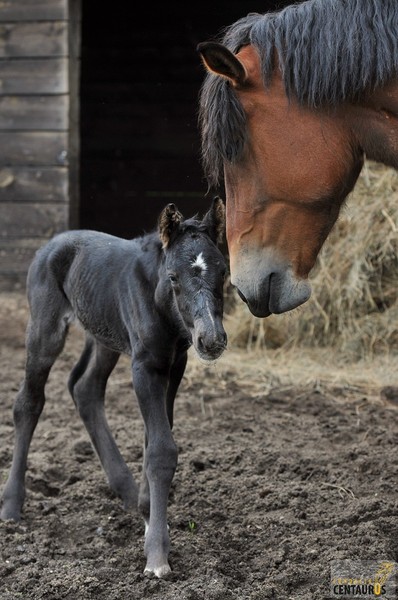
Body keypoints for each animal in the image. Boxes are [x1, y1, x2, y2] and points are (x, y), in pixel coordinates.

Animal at [0, 199, 227, 580]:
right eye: (173, 277)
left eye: (223, 271)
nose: (211, 339)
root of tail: (51, 244)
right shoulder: (145, 366)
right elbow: (161, 450)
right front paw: (157, 556)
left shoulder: (175, 365)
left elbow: (155, 443)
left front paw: (149, 515)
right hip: (46, 329)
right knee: (28, 402)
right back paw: (11, 505)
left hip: (103, 337)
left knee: (85, 388)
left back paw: (128, 492)